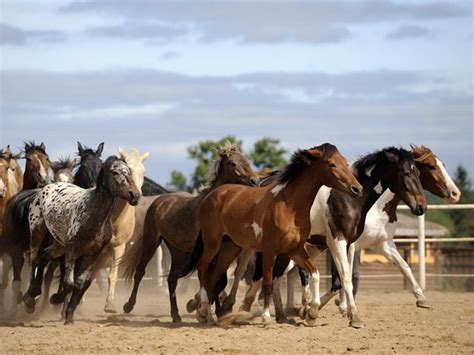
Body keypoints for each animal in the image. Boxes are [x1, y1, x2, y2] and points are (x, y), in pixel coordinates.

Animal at [23, 157, 141, 324]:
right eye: (115, 172)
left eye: (129, 171)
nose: (135, 195)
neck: (92, 213)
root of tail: (45, 188)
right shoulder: (72, 251)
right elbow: (69, 283)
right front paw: (56, 299)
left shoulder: (93, 254)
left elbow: (80, 282)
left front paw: (69, 316)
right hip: (37, 232)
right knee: (34, 259)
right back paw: (30, 299)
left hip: (59, 245)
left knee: (43, 256)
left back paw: (34, 295)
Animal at [120, 143, 258, 324]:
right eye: (233, 163)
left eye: (247, 160)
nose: (255, 181)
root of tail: (158, 202)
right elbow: (210, 278)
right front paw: (202, 308)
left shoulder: (220, 252)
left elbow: (219, 280)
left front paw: (214, 309)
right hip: (152, 242)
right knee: (140, 271)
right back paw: (128, 305)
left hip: (178, 251)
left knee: (172, 279)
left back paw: (176, 315)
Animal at [182, 143, 362, 326]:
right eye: (332, 164)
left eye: (346, 162)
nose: (357, 189)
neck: (288, 205)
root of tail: (212, 194)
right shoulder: (269, 250)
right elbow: (267, 282)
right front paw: (266, 317)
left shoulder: (294, 250)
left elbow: (315, 274)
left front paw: (311, 312)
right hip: (212, 243)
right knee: (203, 269)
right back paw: (204, 309)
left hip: (229, 249)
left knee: (214, 275)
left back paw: (206, 313)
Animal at [324, 145, 462, 314]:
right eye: (431, 166)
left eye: (442, 164)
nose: (455, 194)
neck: (375, 209)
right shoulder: (349, 244)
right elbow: (346, 273)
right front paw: (343, 306)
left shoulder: (382, 244)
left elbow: (404, 266)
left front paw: (421, 298)